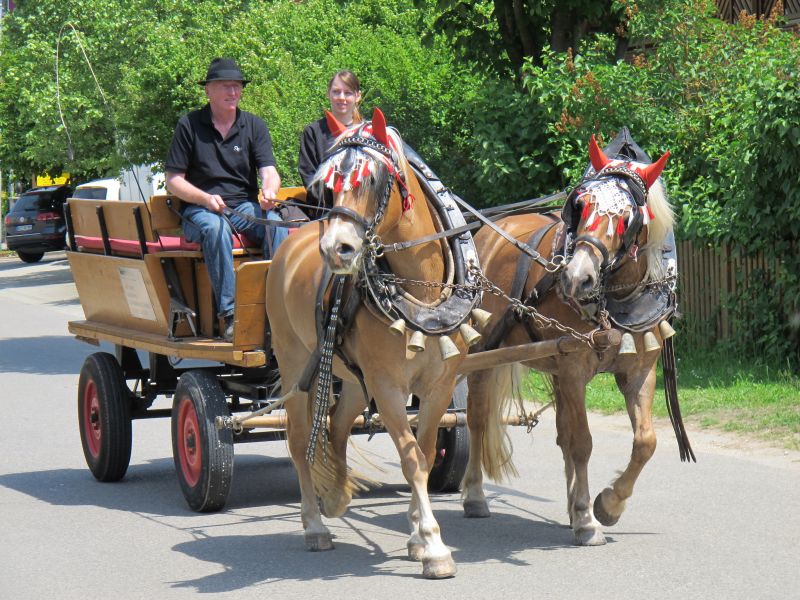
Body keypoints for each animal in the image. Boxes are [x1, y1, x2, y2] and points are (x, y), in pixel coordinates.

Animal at [265, 108, 480, 578]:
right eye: (328, 186)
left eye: (375, 179)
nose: (336, 249)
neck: (423, 291)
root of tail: (291, 242)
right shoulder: (388, 386)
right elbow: (411, 458)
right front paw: (433, 545)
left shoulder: (439, 385)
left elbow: (425, 450)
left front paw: (416, 535)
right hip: (295, 364)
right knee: (300, 438)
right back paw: (315, 524)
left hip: (351, 379)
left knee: (336, 424)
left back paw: (336, 494)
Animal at [461, 132, 687, 546]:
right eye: (580, 206)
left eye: (627, 217)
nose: (577, 278)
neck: (614, 301)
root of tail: (486, 232)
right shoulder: (573, 368)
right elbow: (582, 442)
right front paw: (586, 518)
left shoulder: (639, 370)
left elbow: (645, 441)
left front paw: (607, 505)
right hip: (485, 354)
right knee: (477, 419)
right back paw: (474, 496)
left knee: (561, 433)